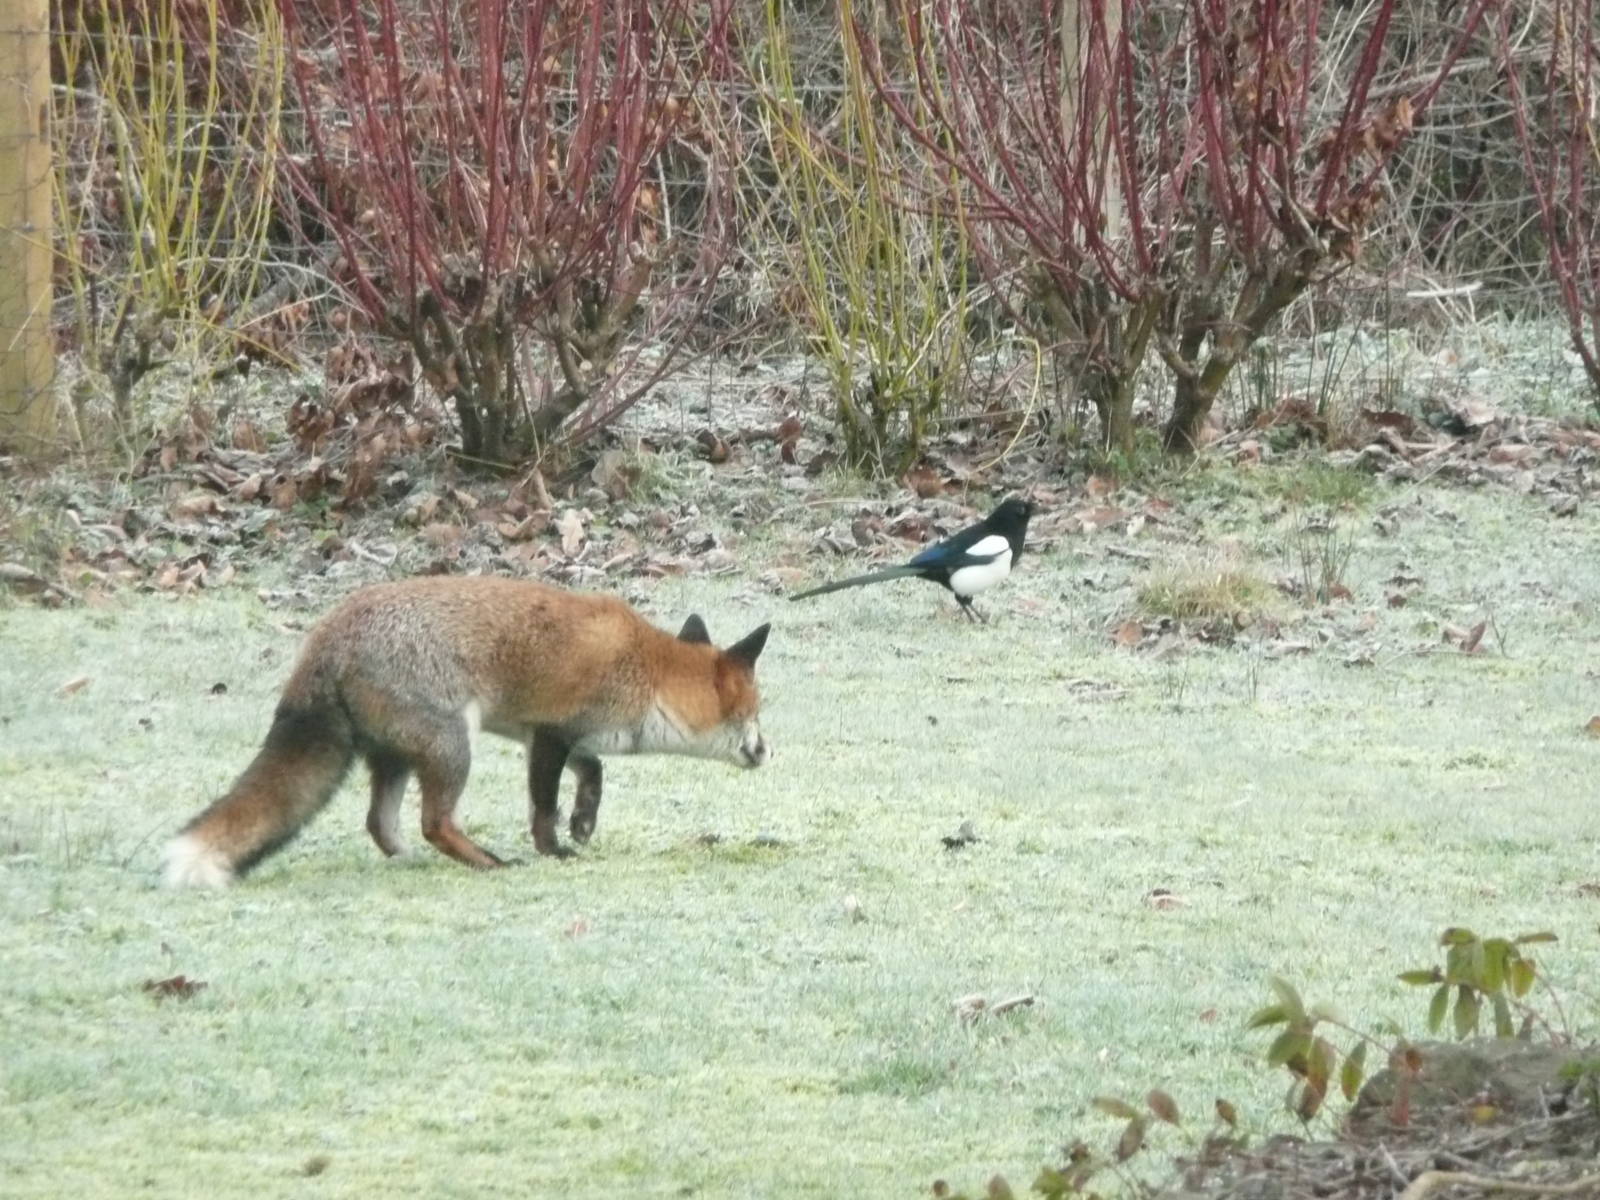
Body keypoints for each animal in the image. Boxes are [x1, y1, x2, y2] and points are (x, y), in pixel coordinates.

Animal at [162, 576, 772, 887]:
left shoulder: (548, 735)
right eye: (757, 712)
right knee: (434, 823)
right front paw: (554, 850)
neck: (646, 673)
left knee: (380, 822)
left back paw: (410, 860)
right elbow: (543, 808)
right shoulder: (550, 733)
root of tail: (326, 636)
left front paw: (583, 821)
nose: (769, 750)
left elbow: (593, 770)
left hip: (397, 756)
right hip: (453, 744)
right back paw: (488, 863)